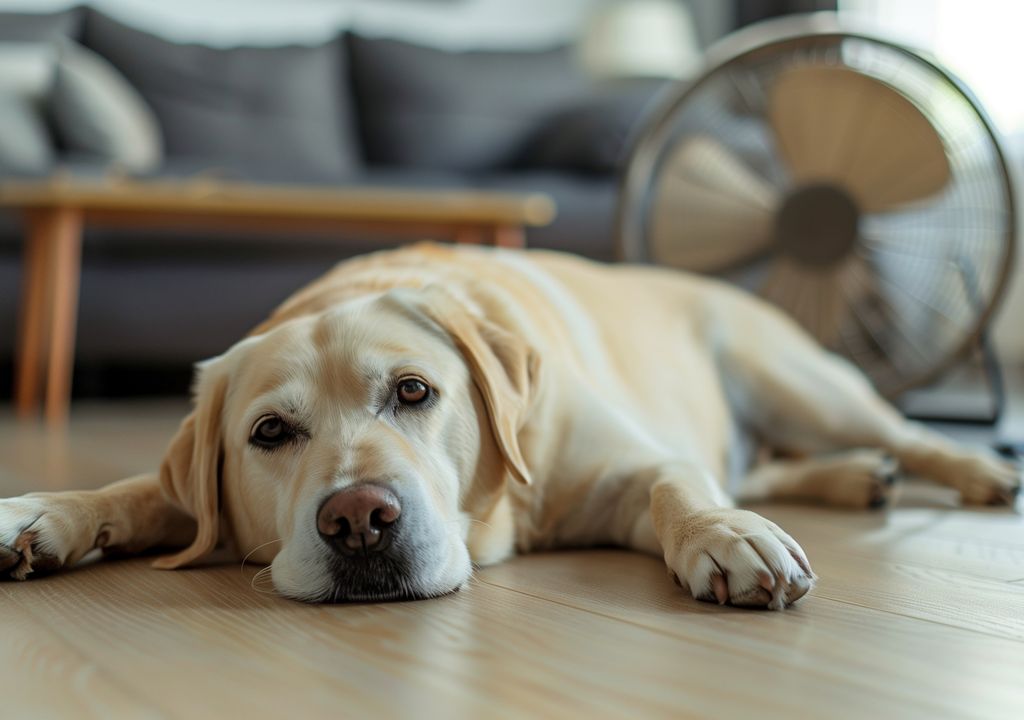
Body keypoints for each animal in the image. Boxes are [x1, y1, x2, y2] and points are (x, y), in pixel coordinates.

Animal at [0, 243, 1015, 606]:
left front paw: (724, 539)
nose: (358, 520)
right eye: (270, 436)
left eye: (414, 392)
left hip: (800, 381)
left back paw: (979, 472)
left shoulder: (632, 466)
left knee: (901, 429)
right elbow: (140, 489)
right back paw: (859, 476)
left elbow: (678, 484)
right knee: (774, 464)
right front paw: (42, 515)